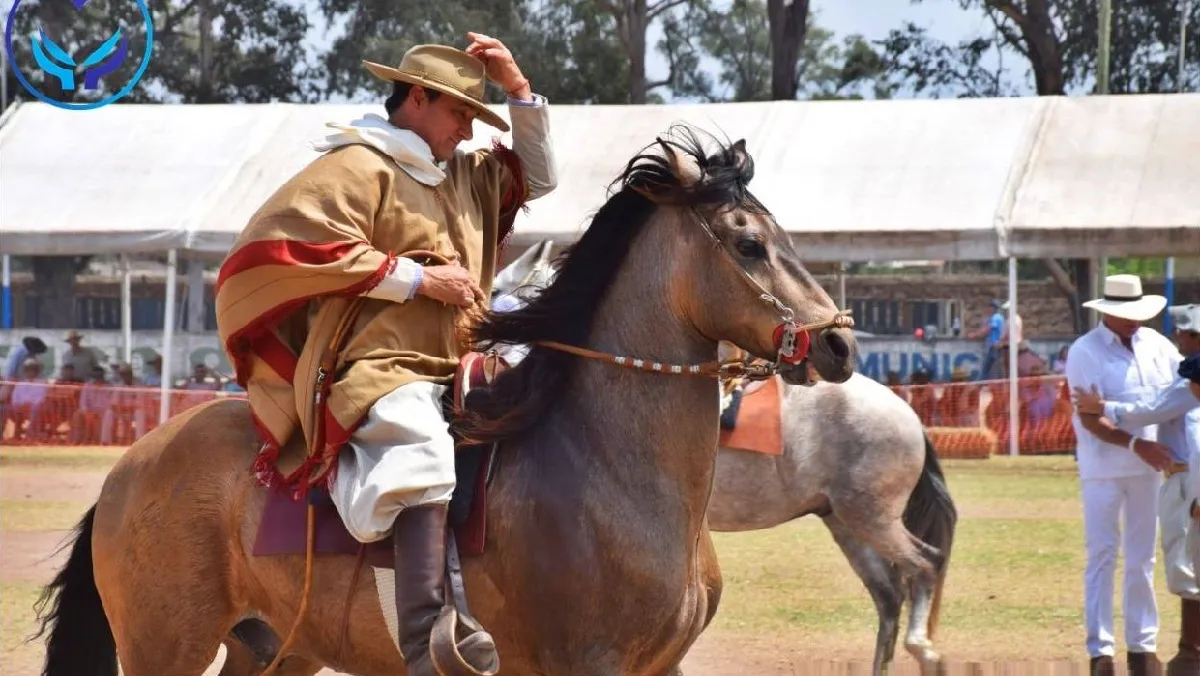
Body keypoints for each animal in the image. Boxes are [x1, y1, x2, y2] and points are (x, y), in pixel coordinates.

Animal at [32, 126, 859, 676]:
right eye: (749, 244)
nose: (839, 344)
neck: (610, 470)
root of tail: (133, 466)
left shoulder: (660, 665)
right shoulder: (588, 662)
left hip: (275, 648)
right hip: (164, 645)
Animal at [490, 244, 957, 676]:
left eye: (497, 293)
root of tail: (907, 413)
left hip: (871, 517)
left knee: (925, 565)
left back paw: (924, 646)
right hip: (846, 520)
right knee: (889, 596)